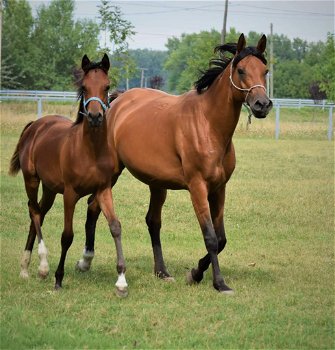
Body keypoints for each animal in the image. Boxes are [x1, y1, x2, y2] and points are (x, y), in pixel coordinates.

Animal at [9, 54, 129, 296]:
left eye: (107, 86)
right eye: (84, 86)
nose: (95, 116)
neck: (90, 151)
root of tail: (35, 125)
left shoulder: (103, 190)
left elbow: (115, 226)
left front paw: (121, 281)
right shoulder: (70, 194)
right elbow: (67, 236)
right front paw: (58, 278)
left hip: (50, 189)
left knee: (38, 213)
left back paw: (26, 267)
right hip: (32, 180)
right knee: (34, 211)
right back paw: (41, 267)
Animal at [79, 34, 272, 294]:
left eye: (265, 71)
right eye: (241, 70)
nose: (262, 104)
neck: (208, 124)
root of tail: (117, 101)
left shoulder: (219, 189)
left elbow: (221, 238)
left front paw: (196, 272)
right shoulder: (198, 187)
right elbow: (211, 237)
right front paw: (218, 282)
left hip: (157, 184)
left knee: (152, 221)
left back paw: (161, 271)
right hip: (114, 173)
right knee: (94, 206)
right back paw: (85, 261)